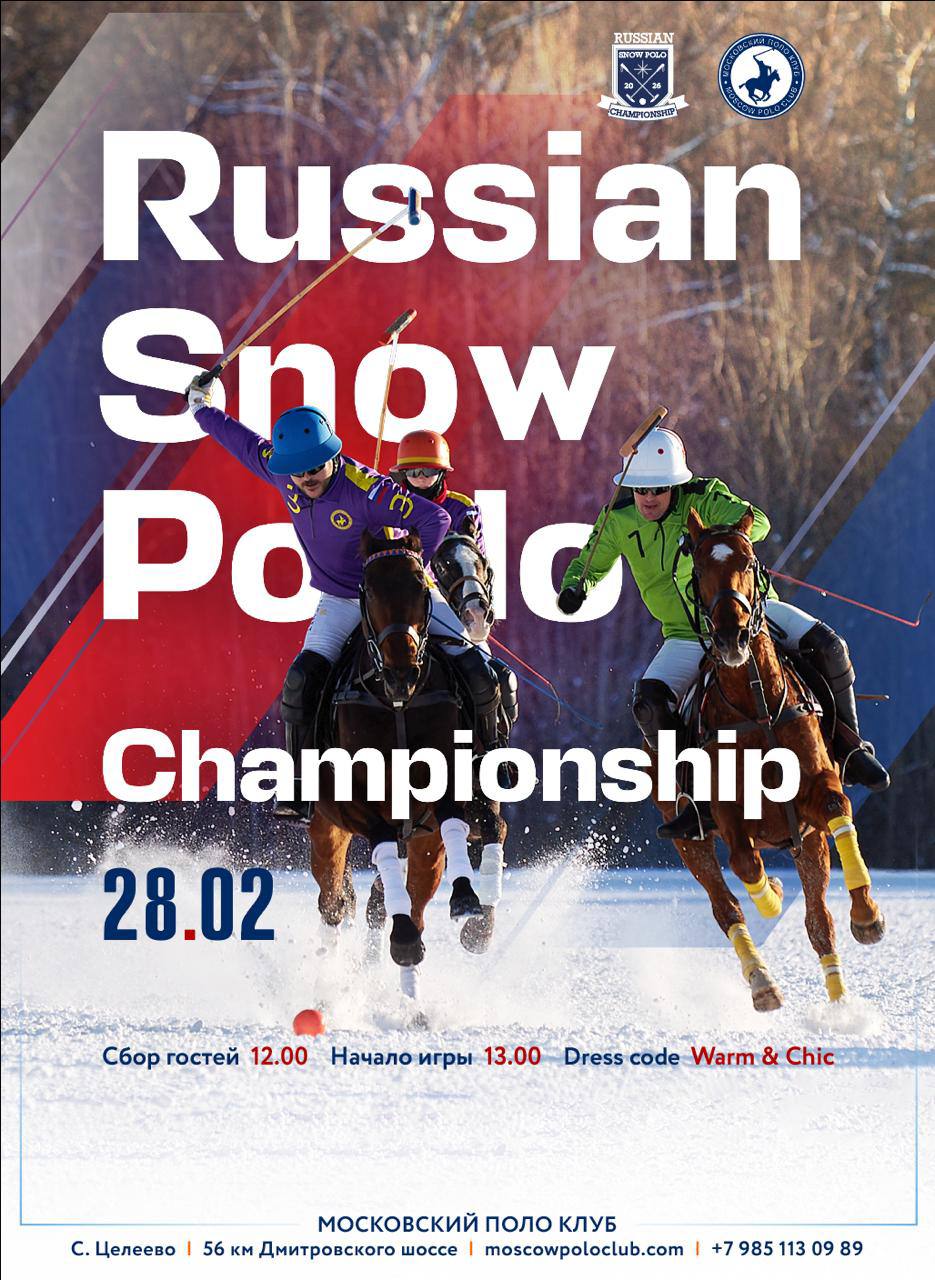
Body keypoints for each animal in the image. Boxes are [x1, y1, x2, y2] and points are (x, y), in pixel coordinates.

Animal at [305, 530, 479, 1006]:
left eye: (421, 588)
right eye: (369, 590)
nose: (403, 674)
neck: (396, 702)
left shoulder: (444, 790)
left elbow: (453, 821)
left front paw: (465, 898)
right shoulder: (355, 805)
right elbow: (379, 855)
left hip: (422, 844)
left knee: (406, 905)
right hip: (325, 829)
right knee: (333, 904)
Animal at [653, 508, 885, 1011]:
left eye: (748, 559)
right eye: (698, 569)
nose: (731, 637)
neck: (756, 704)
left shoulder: (816, 794)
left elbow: (838, 808)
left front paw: (868, 916)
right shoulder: (727, 811)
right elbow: (745, 865)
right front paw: (773, 897)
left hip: (808, 839)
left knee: (819, 922)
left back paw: (840, 1003)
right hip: (688, 837)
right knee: (726, 904)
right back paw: (762, 982)